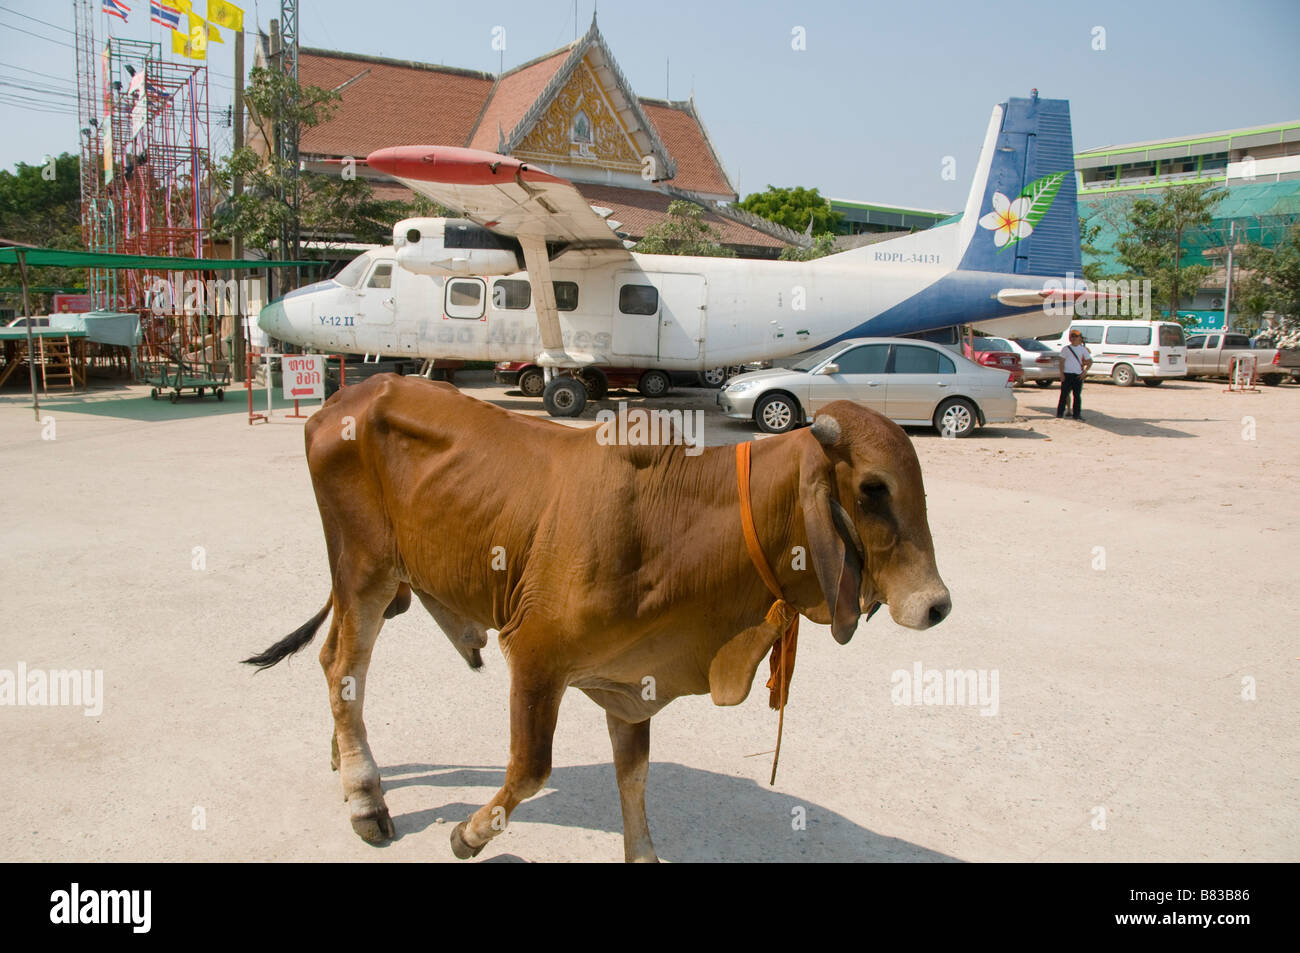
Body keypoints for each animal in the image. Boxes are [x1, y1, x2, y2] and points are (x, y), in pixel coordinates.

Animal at [245, 374, 956, 863]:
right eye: (872, 489)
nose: (937, 604)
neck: (677, 522)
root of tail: (350, 394)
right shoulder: (536, 657)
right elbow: (529, 769)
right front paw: (469, 834)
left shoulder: (631, 681)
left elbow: (633, 778)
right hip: (365, 571)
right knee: (343, 662)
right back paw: (366, 797)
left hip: (380, 581)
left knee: (337, 665)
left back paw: (344, 762)